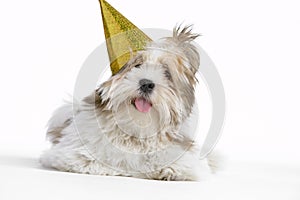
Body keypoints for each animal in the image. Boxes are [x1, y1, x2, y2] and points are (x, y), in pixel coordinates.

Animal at [40, 25, 218, 180]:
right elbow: (91, 160)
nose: (146, 83)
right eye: (136, 65)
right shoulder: (71, 153)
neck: (136, 128)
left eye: (166, 72)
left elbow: (180, 165)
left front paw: (165, 171)